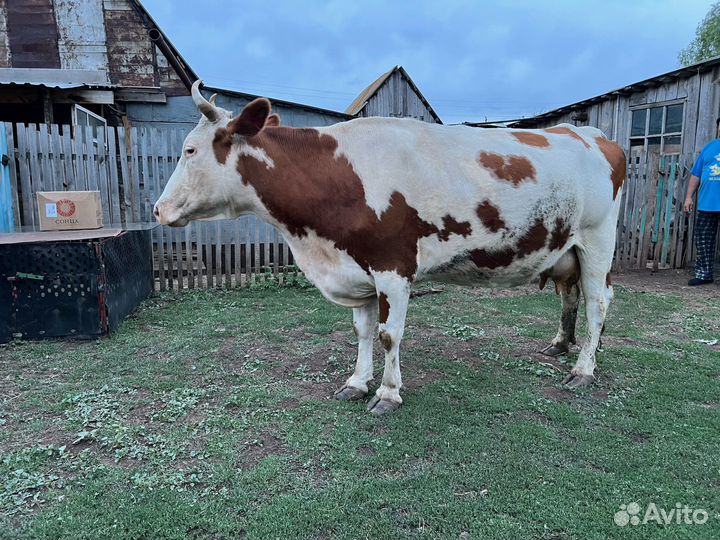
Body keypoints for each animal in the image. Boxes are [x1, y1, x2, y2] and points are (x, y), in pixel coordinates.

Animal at [154, 81, 625, 415]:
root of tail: (589, 132)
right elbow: (362, 332)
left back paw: (584, 368)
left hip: (598, 240)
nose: (158, 209)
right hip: (566, 249)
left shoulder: (393, 267)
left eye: (190, 149)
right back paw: (564, 345)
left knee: (598, 301)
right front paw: (356, 383)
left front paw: (387, 393)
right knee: (571, 296)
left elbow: (387, 334)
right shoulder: (356, 268)